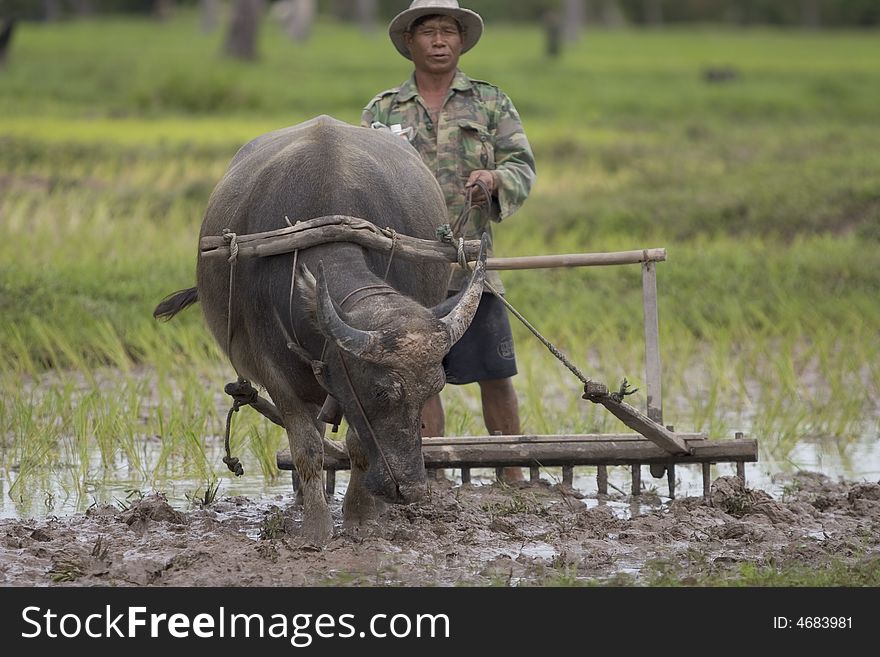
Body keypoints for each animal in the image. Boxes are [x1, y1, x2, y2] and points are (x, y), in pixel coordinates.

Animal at [159, 116, 488, 544]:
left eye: (433, 389)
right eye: (381, 393)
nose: (412, 490)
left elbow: (358, 447)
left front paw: (360, 516)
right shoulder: (272, 367)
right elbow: (306, 447)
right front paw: (315, 527)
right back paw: (301, 500)